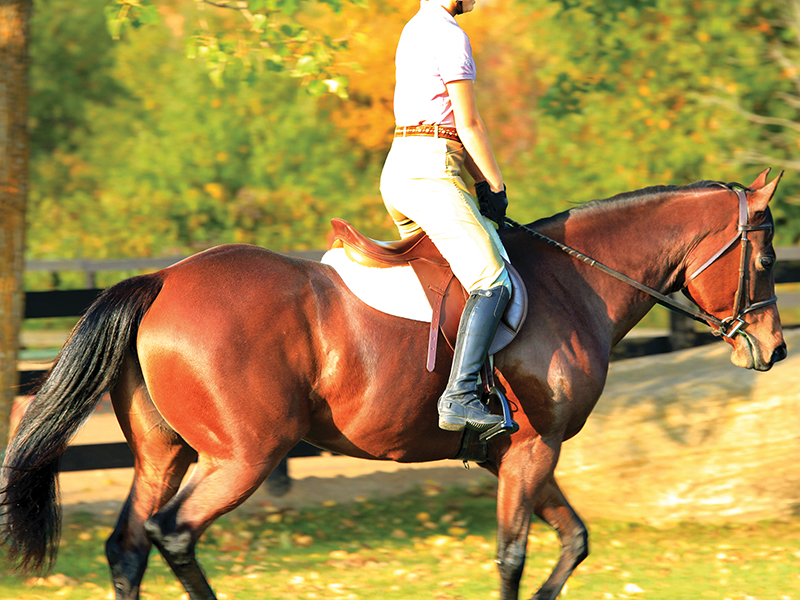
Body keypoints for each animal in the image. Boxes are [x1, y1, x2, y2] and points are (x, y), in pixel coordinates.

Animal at [1, 170, 786, 600]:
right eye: (768, 258)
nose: (775, 348)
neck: (574, 281)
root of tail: (164, 278)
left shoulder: (519, 455)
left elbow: (575, 540)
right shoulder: (535, 451)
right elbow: (514, 554)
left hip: (164, 456)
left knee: (129, 546)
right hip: (243, 457)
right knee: (175, 535)